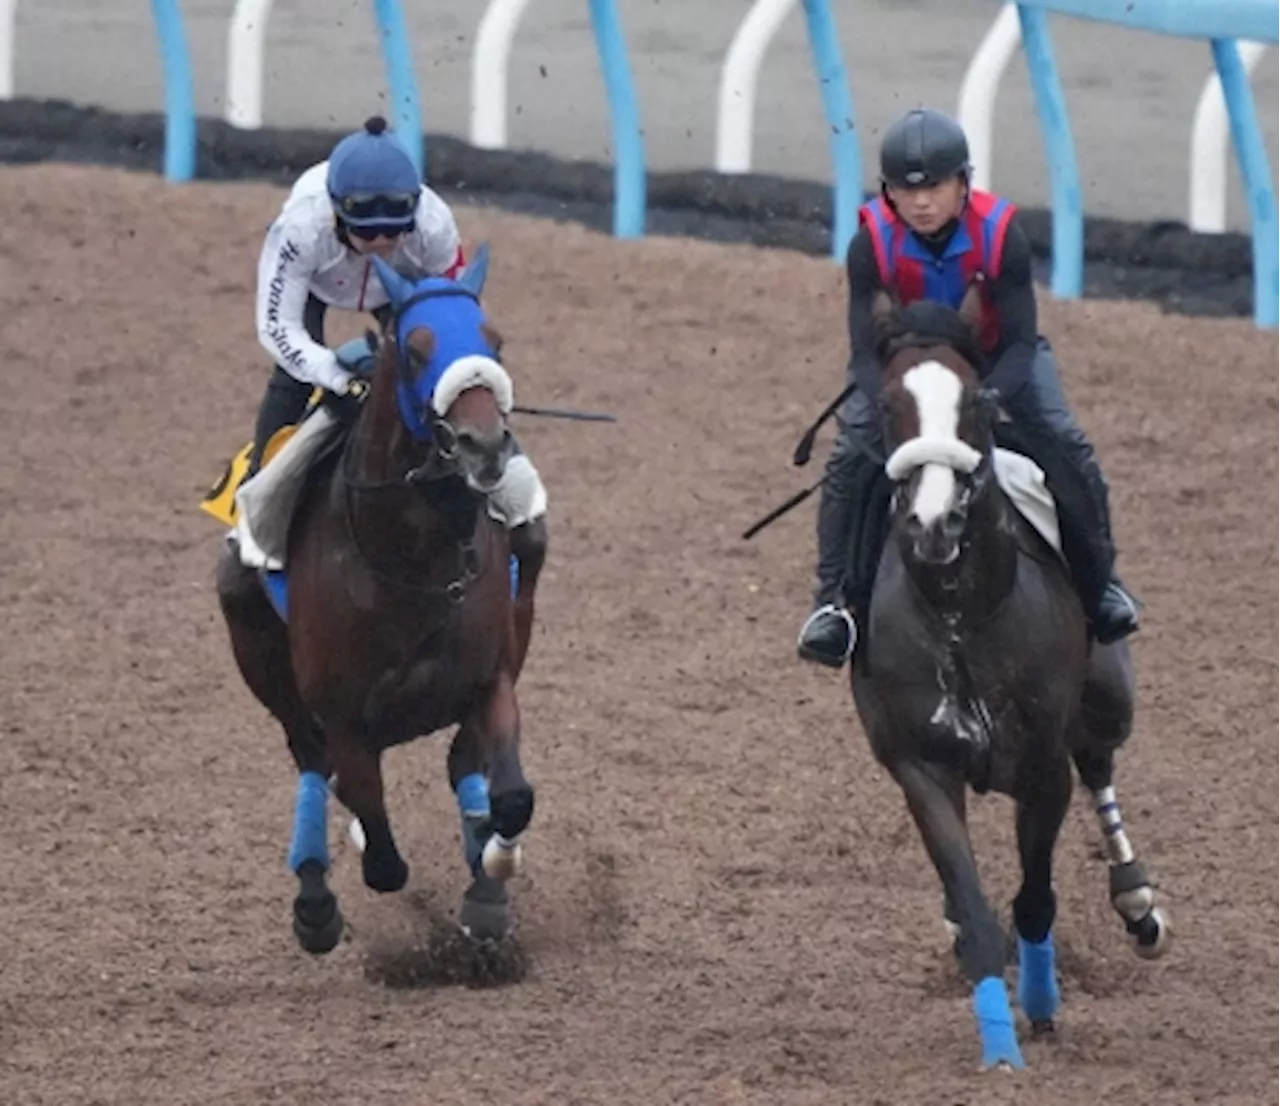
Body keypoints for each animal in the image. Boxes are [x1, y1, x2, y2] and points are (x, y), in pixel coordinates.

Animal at [216, 248, 545, 952]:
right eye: (415, 351)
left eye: (495, 342)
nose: (484, 445)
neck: (412, 561)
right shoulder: (344, 716)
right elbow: (382, 853)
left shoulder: (491, 675)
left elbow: (511, 796)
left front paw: (492, 872)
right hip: (252, 638)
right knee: (312, 761)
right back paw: (315, 900)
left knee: (460, 763)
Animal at [849, 285, 1172, 1070]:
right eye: (891, 406)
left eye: (975, 401)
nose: (933, 523)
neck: (961, 618)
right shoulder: (922, 767)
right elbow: (975, 909)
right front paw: (1000, 1048)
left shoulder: (1042, 767)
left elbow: (1036, 900)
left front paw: (1043, 1004)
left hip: (1109, 693)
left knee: (1100, 763)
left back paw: (1137, 901)